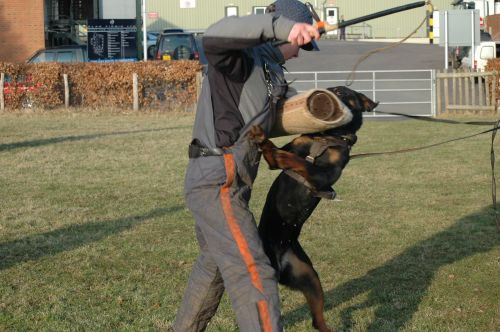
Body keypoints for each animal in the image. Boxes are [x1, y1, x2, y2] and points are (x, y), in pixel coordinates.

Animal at [248, 87, 376, 330]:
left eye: (344, 92)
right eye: (335, 90)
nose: (331, 92)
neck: (329, 136)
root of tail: (280, 263)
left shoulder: (323, 177)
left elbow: (299, 162)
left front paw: (280, 154)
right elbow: (280, 154)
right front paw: (261, 138)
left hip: (311, 280)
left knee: (318, 321)